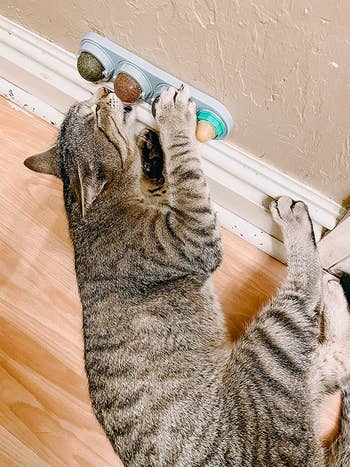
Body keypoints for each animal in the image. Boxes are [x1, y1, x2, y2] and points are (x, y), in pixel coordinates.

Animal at [24, 87, 350, 464]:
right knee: (305, 292)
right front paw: (173, 121)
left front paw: (152, 149)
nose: (105, 92)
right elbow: (187, 171)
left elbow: (170, 179)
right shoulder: (195, 232)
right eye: (96, 116)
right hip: (271, 348)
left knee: (339, 357)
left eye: (87, 110)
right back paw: (302, 233)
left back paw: (334, 292)